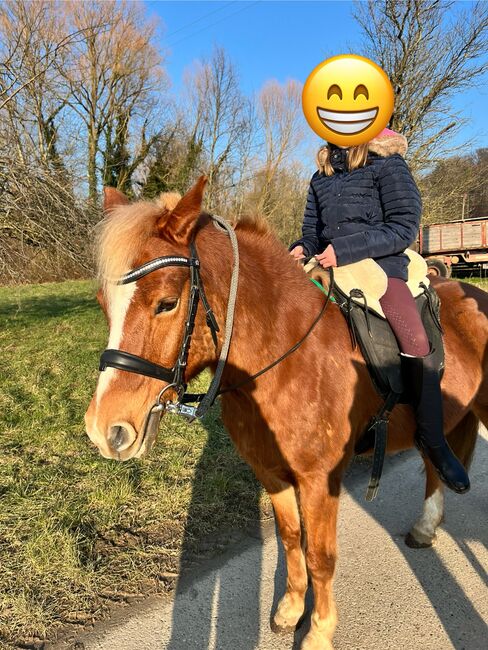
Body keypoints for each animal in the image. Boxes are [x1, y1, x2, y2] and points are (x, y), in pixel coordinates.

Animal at [86, 177, 486, 648]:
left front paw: (319, 631)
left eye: (166, 303)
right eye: (103, 303)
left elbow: (321, 555)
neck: (287, 356)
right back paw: (425, 527)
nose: (104, 429)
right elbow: (292, 538)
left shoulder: (319, 480)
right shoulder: (271, 471)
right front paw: (292, 608)